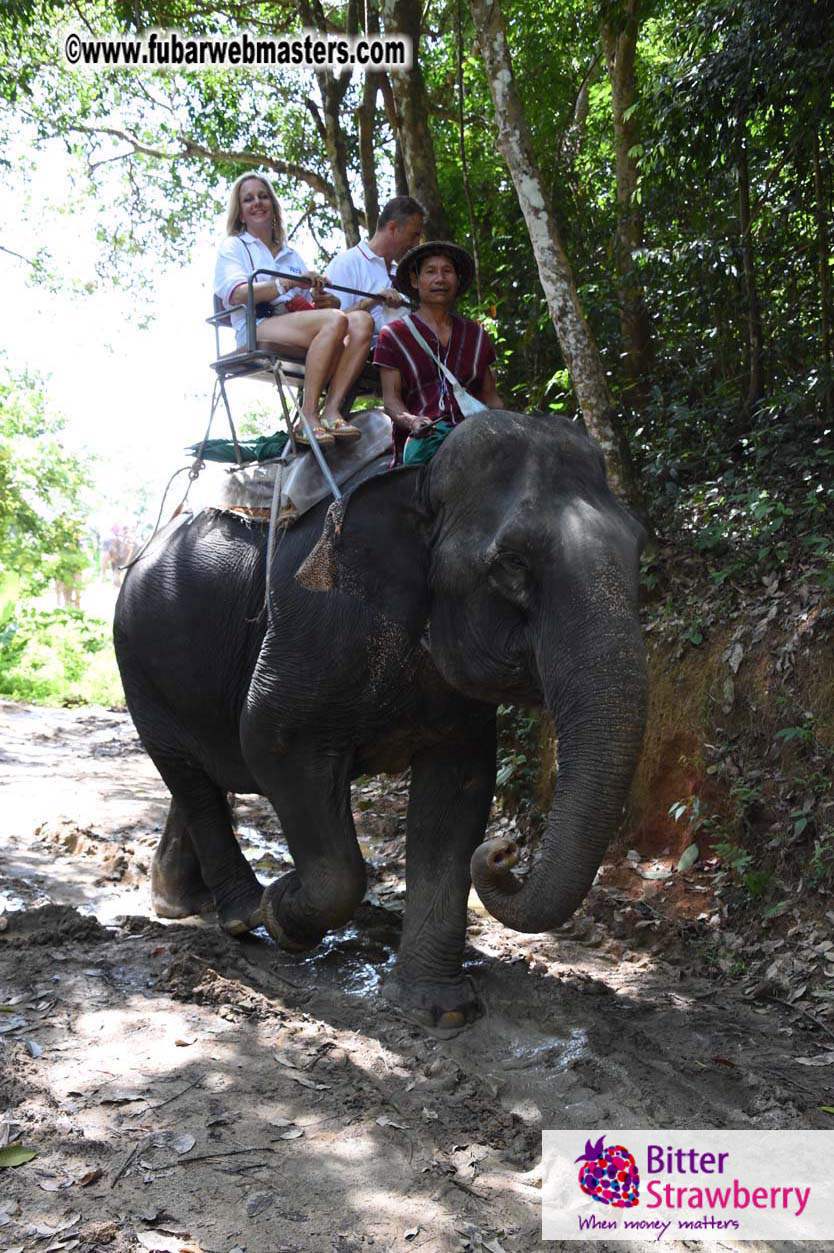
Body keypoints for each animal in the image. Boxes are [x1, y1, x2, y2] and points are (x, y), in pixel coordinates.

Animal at [114, 411, 647, 1034]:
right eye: (514, 562)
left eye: (639, 551)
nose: (505, 850)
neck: (419, 480)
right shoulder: (314, 622)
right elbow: (272, 742)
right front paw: (285, 915)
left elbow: (459, 790)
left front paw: (440, 1011)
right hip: (138, 664)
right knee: (188, 773)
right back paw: (243, 913)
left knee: (200, 776)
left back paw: (182, 904)